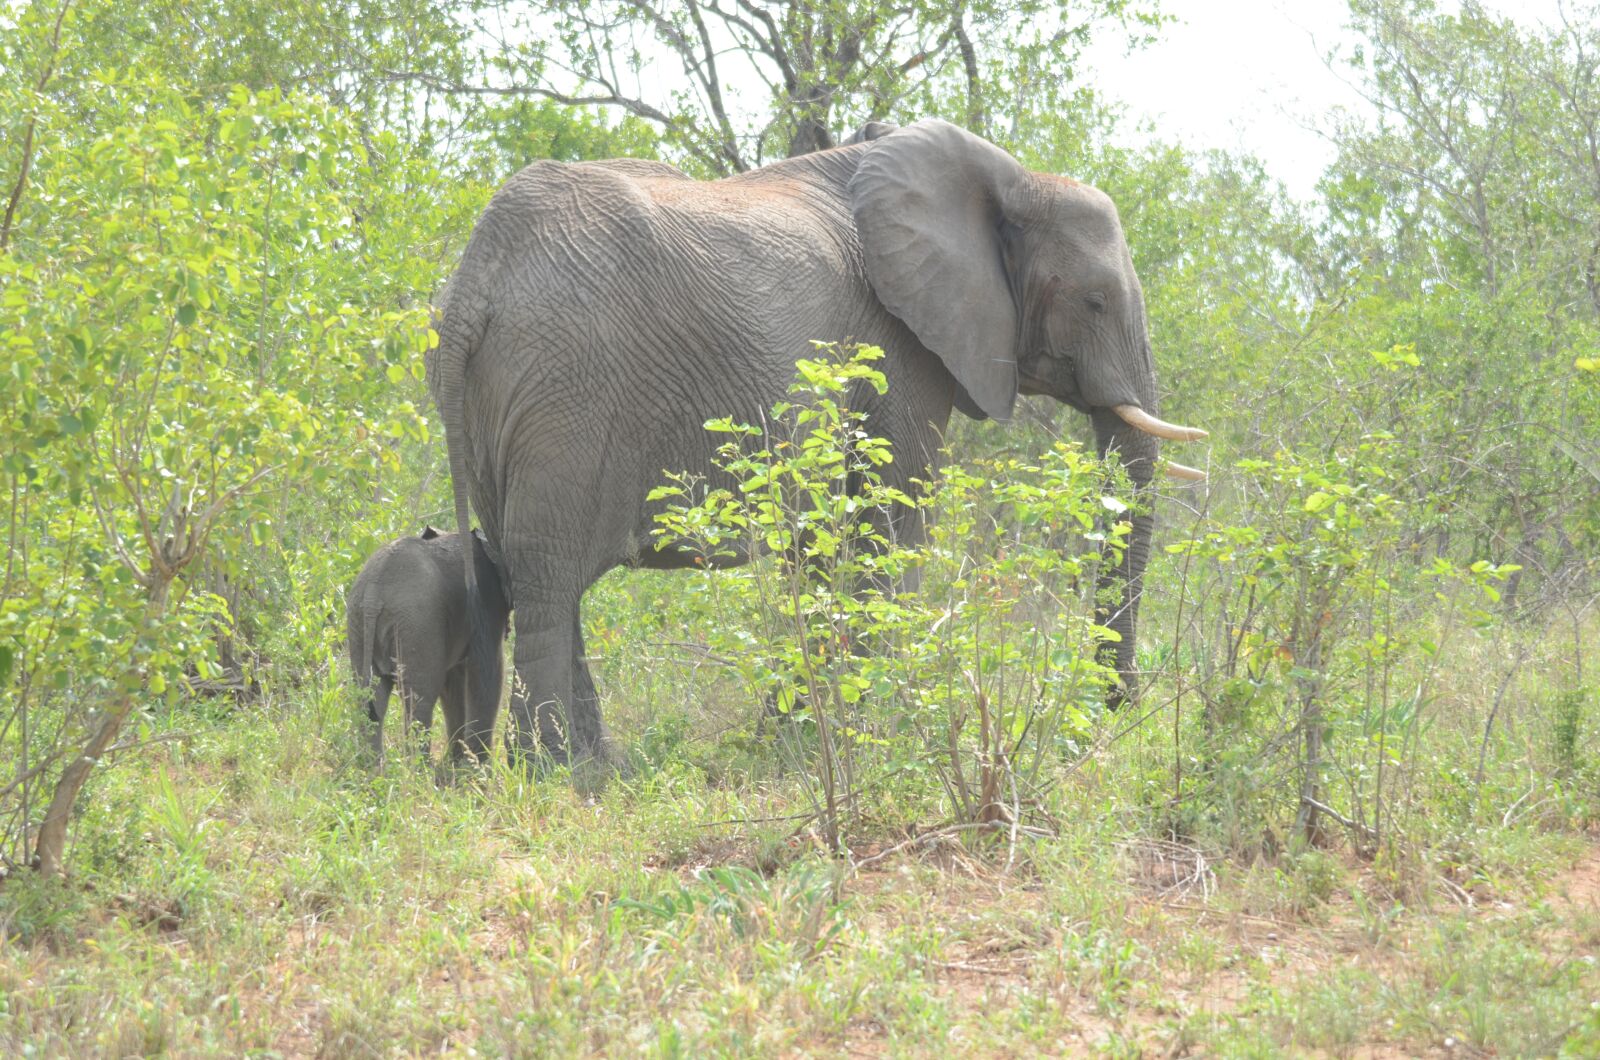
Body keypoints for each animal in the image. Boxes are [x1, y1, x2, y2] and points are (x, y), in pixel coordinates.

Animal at [345, 526, 511, 763]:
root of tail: (372, 596)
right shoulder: (485, 606)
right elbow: (488, 672)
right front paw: (477, 765)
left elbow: (453, 683)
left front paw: (456, 761)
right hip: (418, 623)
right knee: (420, 699)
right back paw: (420, 767)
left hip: (358, 624)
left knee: (370, 699)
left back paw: (375, 768)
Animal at [427, 117, 1207, 767]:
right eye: (1096, 302)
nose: (1117, 709)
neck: (1009, 178)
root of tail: (475, 280)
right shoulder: (898, 345)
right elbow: (893, 522)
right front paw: (878, 734)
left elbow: (833, 540)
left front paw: (796, 739)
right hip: (568, 390)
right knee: (549, 577)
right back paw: (562, 774)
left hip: (501, 403)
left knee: (532, 574)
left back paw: (594, 769)